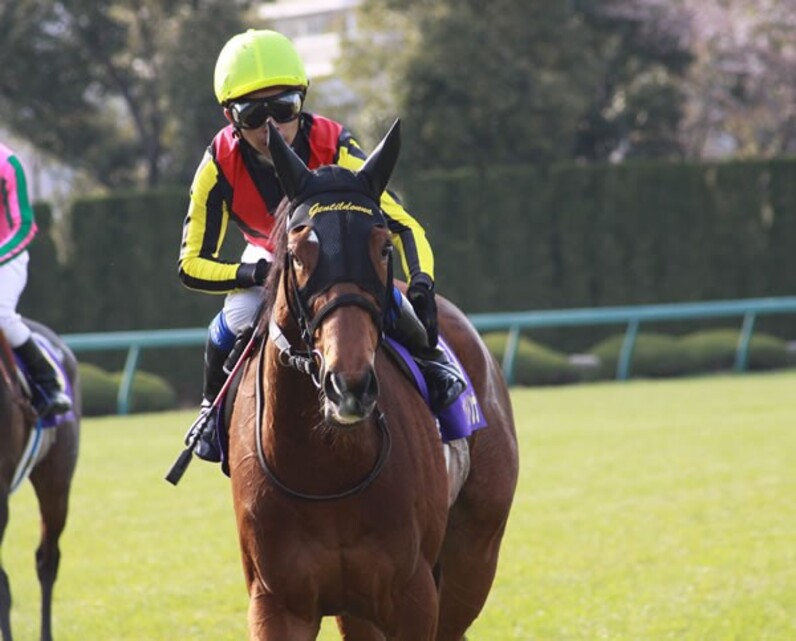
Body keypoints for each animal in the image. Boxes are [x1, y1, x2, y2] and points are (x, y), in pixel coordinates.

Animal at [227, 121, 520, 640]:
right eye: (297, 253)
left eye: (383, 247)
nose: (349, 385)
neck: (324, 471)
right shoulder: (276, 602)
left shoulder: (412, 596)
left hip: (473, 557)